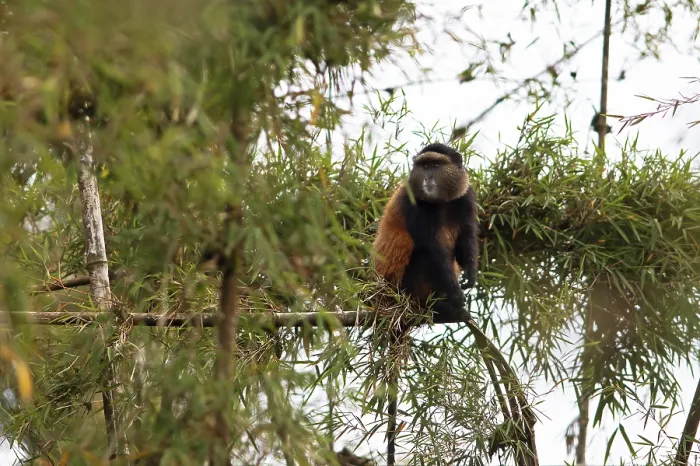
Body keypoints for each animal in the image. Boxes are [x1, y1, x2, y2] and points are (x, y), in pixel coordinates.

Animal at [372, 142, 479, 324]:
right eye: (424, 166)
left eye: (435, 165)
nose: (427, 178)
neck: (442, 202)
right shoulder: (416, 204)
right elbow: (431, 248)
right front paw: (456, 295)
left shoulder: (466, 196)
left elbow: (467, 236)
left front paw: (471, 273)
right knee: (424, 255)